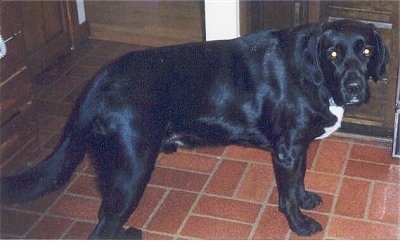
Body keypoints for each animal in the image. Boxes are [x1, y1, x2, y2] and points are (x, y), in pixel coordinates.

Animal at [0, 19, 388, 238]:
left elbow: (299, 181)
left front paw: (307, 199)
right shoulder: (287, 151)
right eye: (333, 54)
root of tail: (99, 80)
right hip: (132, 170)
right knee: (102, 226)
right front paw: (300, 225)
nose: (355, 87)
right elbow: (287, 195)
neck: (314, 74)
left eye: (366, 51)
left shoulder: (297, 148)